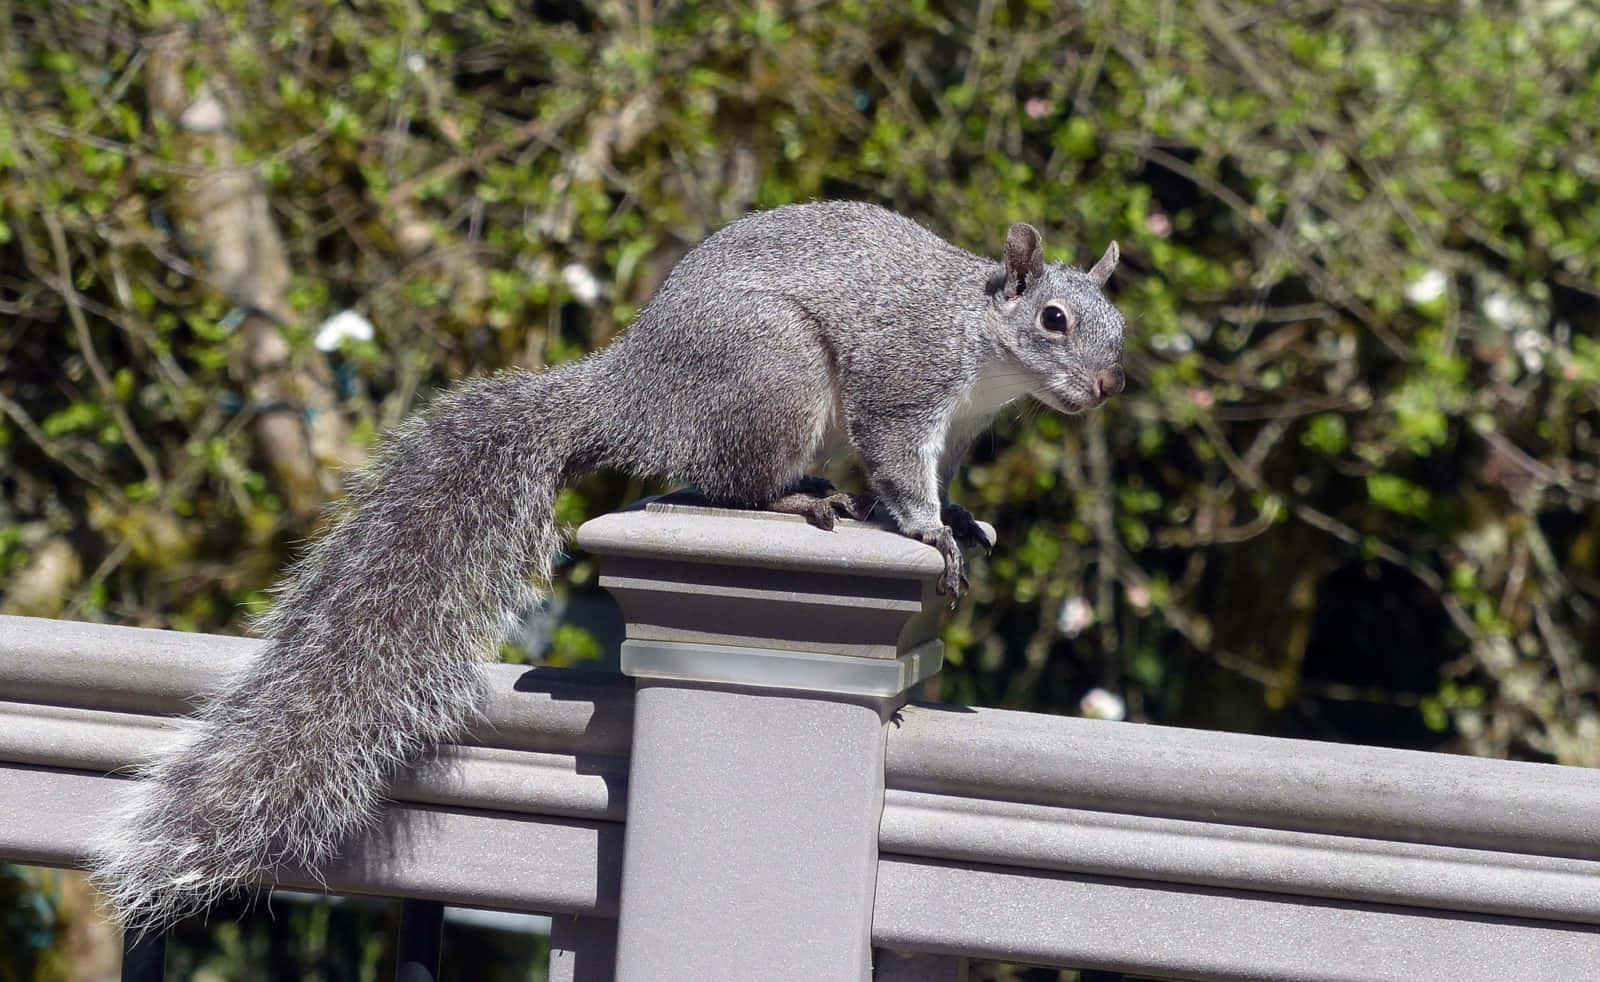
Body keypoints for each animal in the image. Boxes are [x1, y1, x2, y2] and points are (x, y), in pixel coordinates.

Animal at [90, 200, 1126, 931]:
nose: (1111, 383)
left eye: (1116, 325)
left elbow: (939, 482)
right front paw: (926, 534)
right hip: (775, 377)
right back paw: (795, 499)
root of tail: (633, 395)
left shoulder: (963, 429)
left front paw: (961, 519)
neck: (981, 351)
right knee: (724, 482)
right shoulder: (904, 385)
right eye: (1054, 318)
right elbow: (897, 464)